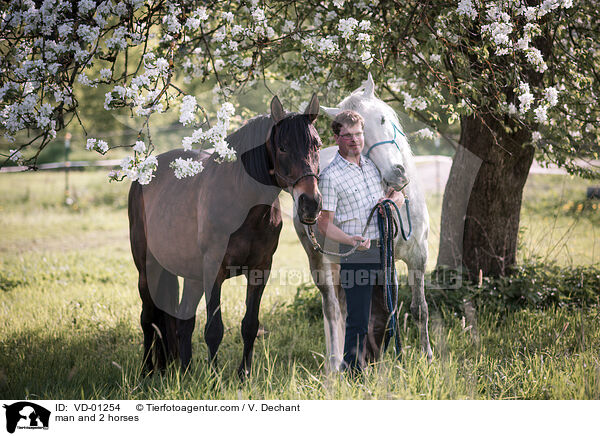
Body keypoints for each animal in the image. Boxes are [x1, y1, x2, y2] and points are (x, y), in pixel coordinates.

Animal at [127, 96, 324, 378]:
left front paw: (244, 375)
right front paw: (214, 378)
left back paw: (184, 372)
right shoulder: (213, 271)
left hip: (191, 275)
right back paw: (147, 371)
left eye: (317, 145)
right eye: (283, 147)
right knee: (148, 318)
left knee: (183, 320)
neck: (243, 205)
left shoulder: (260, 270)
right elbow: (214, 329)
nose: (311, 204)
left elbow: (250, 325)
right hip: (148, 268)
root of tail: (143, 175)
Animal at [294, 73, 432, 370]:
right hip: (318, 260)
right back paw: (334, 363)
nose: (397, 173)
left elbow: (416, 309)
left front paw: (426, 358)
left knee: (345, 309)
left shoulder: (417, 256)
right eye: (358, 135)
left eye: (382, 119)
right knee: (332, 309)